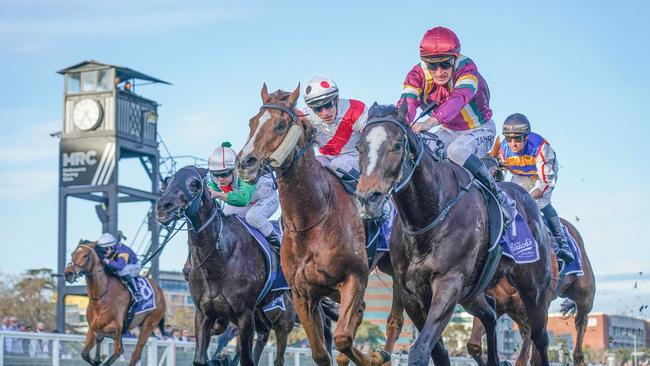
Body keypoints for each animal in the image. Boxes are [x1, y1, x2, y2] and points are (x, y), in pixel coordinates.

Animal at [235, 86, 402, 366]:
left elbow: (343, 338)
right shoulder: (302, 294)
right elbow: (321, 353)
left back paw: (382, 353)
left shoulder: (354, 277)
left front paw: (370, 358)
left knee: (394, 318)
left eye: (281, 125)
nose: (245, 162)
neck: (312, 220)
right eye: (251, 123)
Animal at [352, 103, 548, 366]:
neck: (429, 216)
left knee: (540, 336)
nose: (367, 199)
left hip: (533, 290)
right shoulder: (411, 292)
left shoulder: (449, 283)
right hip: (473, 292)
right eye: (359, 147)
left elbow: (421, 350)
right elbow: (438, 352)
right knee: (490, 312)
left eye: (397, 145)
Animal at [468, 219, 596, 364]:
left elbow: (527, 359)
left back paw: (579, 357)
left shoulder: (534, 309)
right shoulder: (496, 306)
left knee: (581, 322)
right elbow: (474, 345)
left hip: (585, 297)